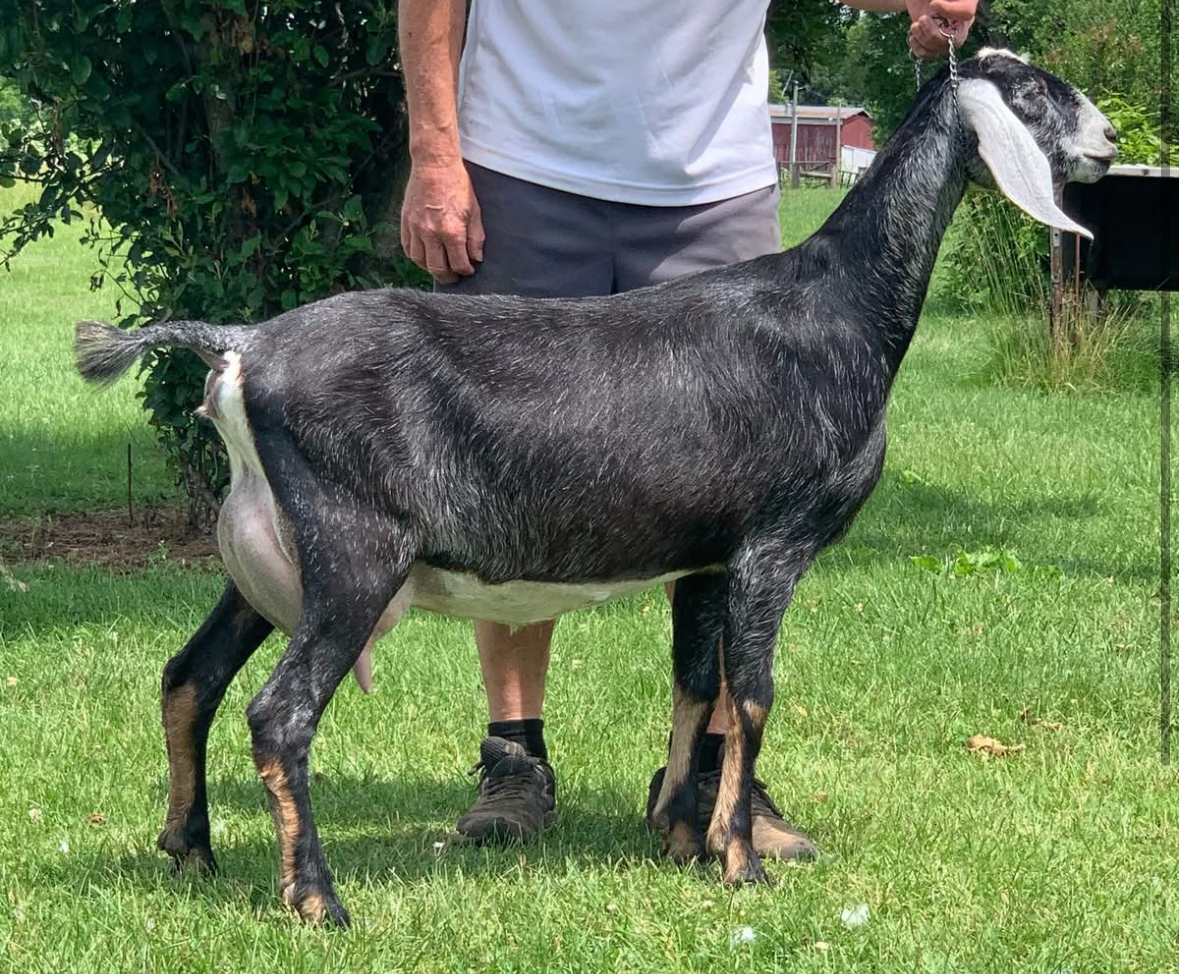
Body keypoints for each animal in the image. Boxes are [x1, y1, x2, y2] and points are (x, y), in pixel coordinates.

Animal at [74, 51, 1115, 926]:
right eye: (1034, 92)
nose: (1107, 141)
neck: (838, 308)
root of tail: (243, 346)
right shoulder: (772, 543)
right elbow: (753, 696)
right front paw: (742, 864)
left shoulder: (705, 557)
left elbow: (697, 686)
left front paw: (684, 836)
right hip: (353, 550)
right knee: (277, 715)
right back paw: (317, 900)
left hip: (270, 557)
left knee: (190, 676)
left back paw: (191, 851)